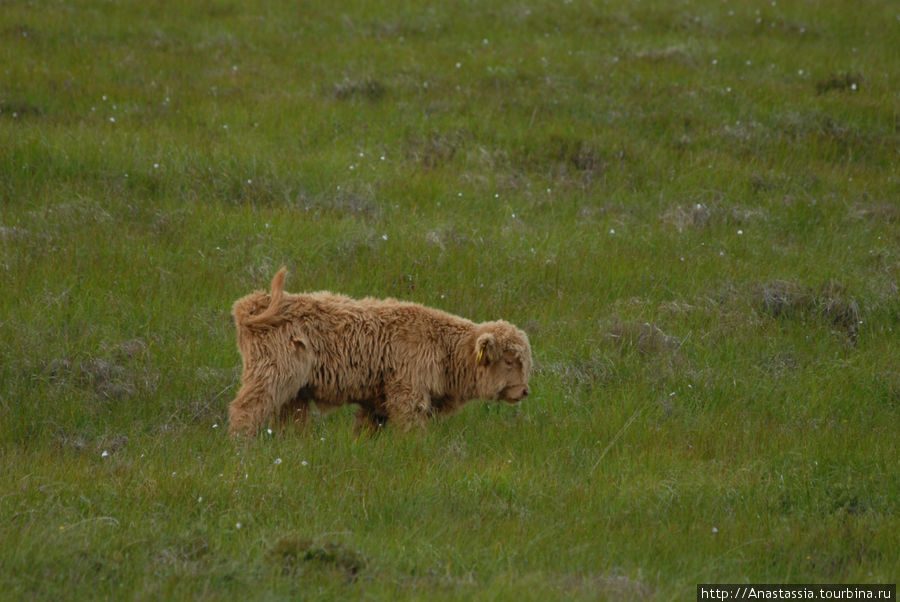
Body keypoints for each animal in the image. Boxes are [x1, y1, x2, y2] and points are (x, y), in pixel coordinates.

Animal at [229, 268, 532, 436]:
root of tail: (254, 303)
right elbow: (411, 430)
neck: (442, 344)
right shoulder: (409, 395)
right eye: (508, 361)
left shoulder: (376, 403)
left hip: (295, 393)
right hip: (272, 375)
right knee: (245, 410)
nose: (524, 391)